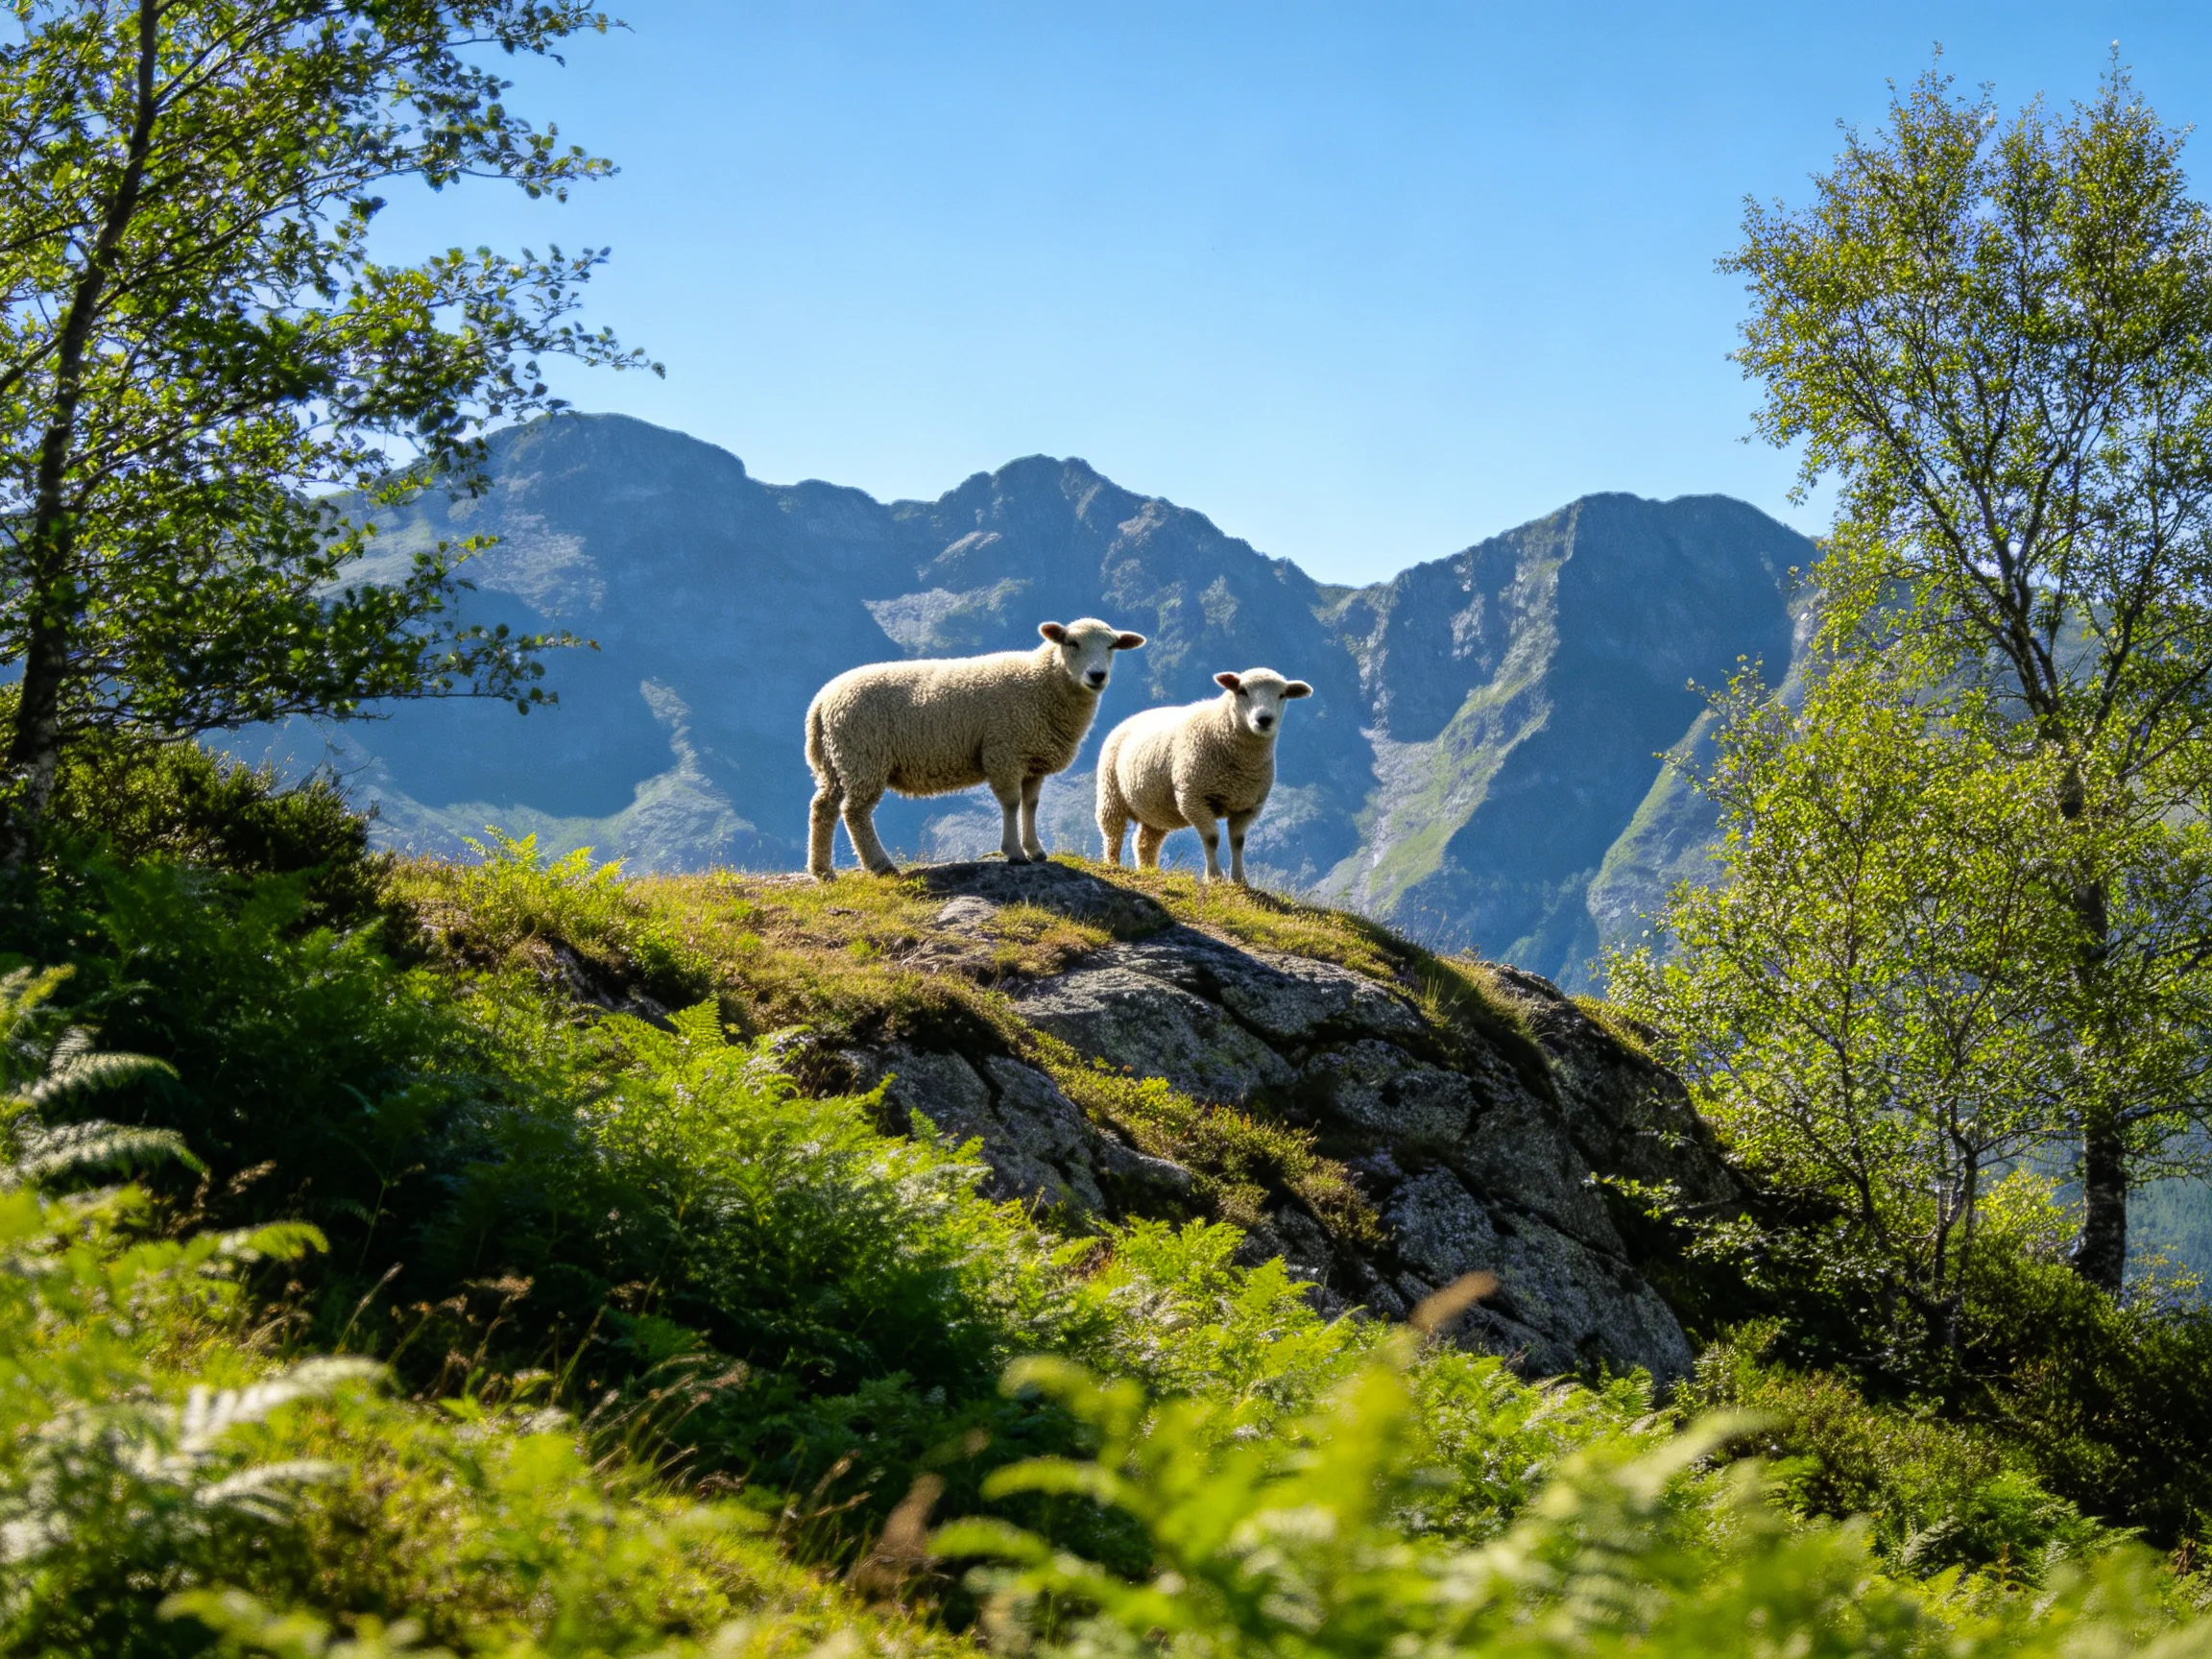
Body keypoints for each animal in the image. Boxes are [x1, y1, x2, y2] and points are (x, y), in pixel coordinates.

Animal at [806, 618, 1147, 879]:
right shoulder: (1004, 751)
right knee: (855, 813)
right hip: (864, 756)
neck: (1042, 683)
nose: (1097, 675)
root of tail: (821, 702)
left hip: (836, 763)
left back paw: (823, 871)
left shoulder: (1032, 759)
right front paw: (1014, 852)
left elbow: (1031, 804)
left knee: (823, 808)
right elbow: (1011, 803)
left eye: (1111, 646)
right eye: (1071, 643)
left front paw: (1035, 850)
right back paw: (880, 866)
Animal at [1096, 668, 1314, 885]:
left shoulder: (1247, 806)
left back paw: (1149, 870)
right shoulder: (1194, 798)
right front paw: (1214, 877)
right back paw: (1112, 864)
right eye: (1242, 690)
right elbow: (1211, 838)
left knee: (1145, 841)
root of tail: (1132, 718)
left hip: (1155, 810)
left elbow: (1238, 842)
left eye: (1282, 695)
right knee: (1112, 833)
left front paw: (1239, 879)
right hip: (1111, 792)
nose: (1264, 719)